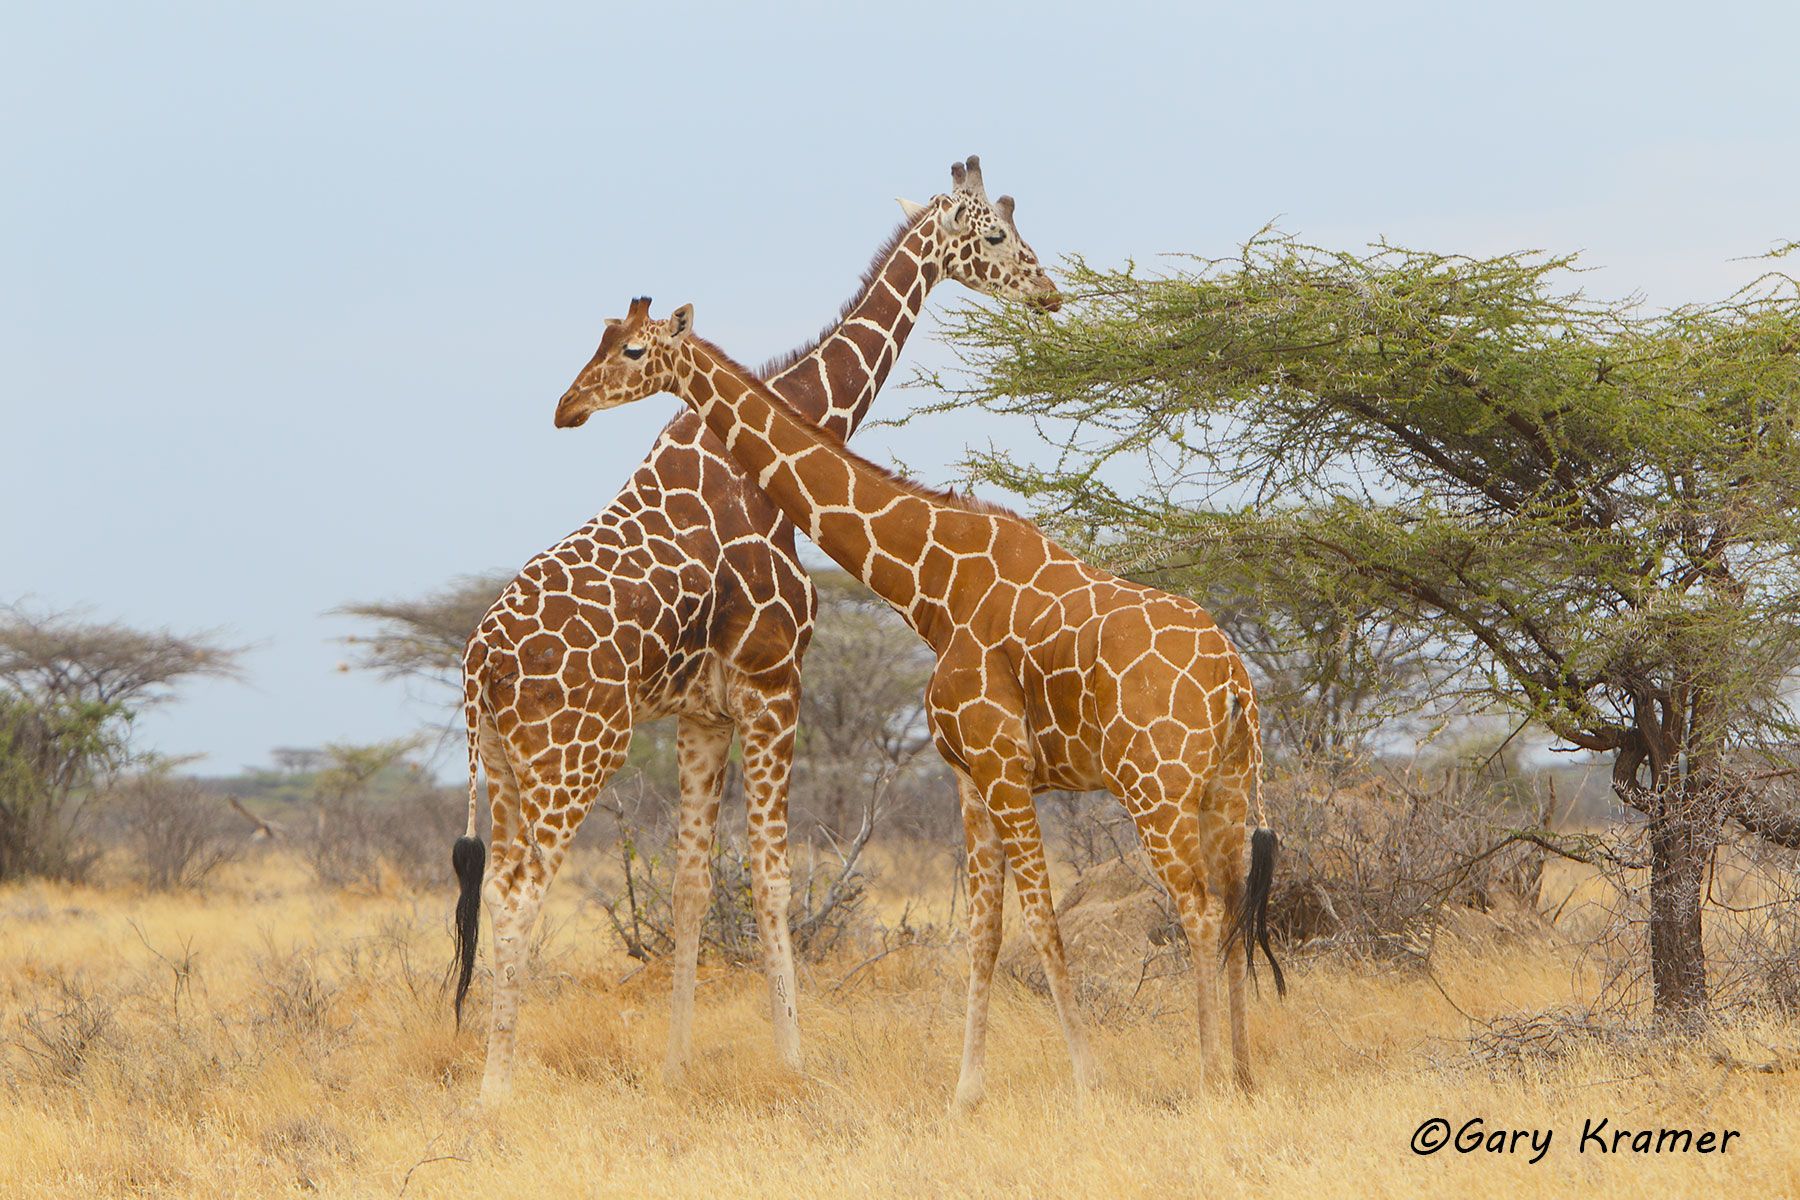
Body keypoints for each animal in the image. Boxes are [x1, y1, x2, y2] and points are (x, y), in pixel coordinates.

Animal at [451, 158, 1060, 1103]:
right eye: (996, 233)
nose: (1049, 291)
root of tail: (478, 663)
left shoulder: (704, 712)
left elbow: (693, 883)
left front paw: (675, 1064)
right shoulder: (776, 683)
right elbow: (774, 877)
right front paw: (795, 1060)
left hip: (509, 772)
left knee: (496, 895)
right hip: (573, 757)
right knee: (519, 898)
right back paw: (495, 1091)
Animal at [554, 300, 1286, 1107]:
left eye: (632, 349)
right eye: (598, 338)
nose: (568, 406)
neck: (931, 587)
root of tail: (1233, 678)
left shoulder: (1001, 762)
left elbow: (1041, 918)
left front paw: (1086, 1080)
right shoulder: (969, 774)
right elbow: (985, 928)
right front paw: (967, 1090)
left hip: (1157, 787)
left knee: (1197, 906)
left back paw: (1209, 1075)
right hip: (1225, 788)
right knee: (1234, 902)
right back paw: (1245, 1073)